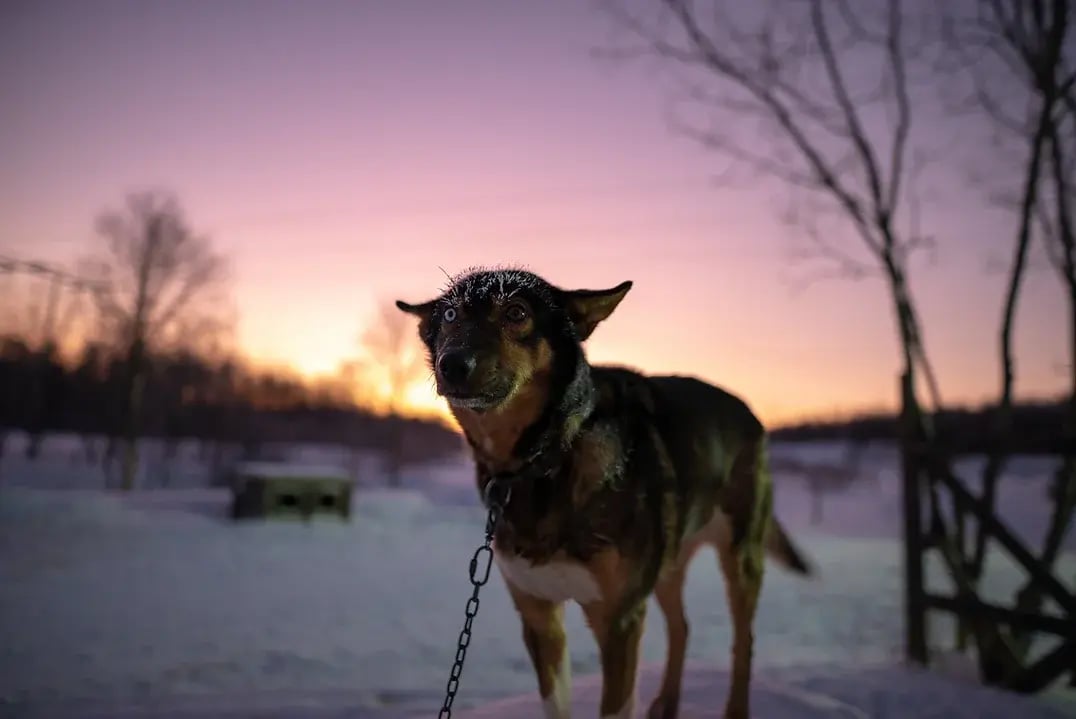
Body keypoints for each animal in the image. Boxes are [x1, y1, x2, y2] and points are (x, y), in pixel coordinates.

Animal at [400, 266, 809, 714]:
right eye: (450, 314)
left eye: (516, 312)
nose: (452, 364)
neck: (546, 459)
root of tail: (748, 411)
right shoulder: (540, 618)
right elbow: (554, 703)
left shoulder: (618, 621)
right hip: (667, 561)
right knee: (681, 626)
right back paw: (666, 703)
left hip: (740, 558)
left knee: (744, 640)